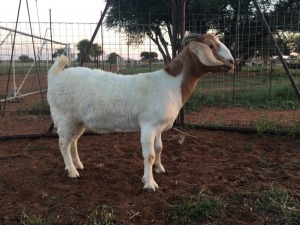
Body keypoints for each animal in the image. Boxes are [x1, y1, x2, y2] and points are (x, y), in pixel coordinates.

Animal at [47, 33, 234, 192]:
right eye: (211, 45)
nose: (232, 62)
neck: (171, 83)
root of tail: (55, 77)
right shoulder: (148, 126)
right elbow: (149, 155)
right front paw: (150, 184)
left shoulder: (158, 127)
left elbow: (159, 148)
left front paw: (160, 168)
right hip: (64, 118)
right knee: (63, 144)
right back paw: (72, 171)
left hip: (78, 121)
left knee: (73, 142)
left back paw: (78, 164)